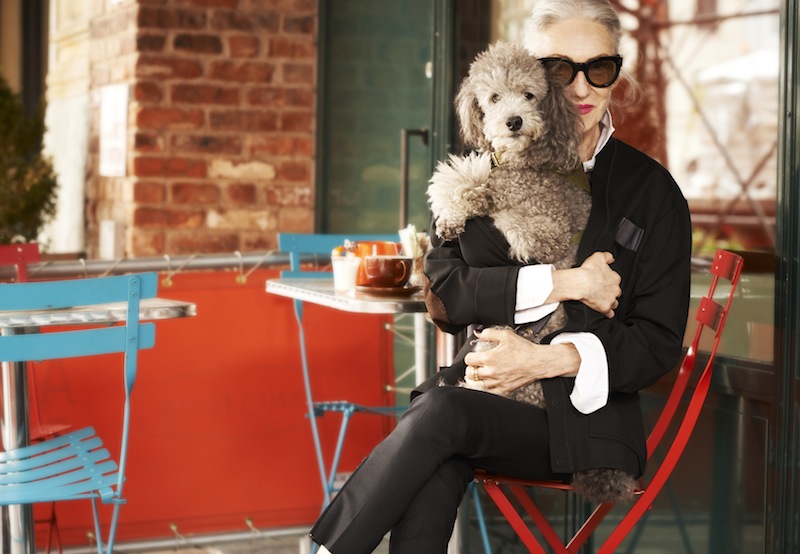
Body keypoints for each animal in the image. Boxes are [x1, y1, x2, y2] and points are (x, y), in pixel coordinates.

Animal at [427, 42, 635, 504]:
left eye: (529, 95)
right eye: (493, 98)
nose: (514, 122)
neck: (525, 161)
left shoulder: (541, 231)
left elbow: (478, 184)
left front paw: (456, 204)